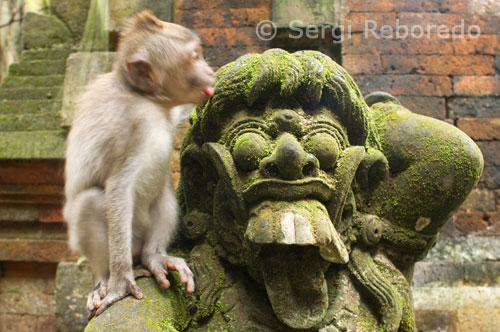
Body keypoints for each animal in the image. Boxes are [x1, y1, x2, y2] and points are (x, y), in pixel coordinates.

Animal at [63, 9, 215, 318]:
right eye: (195, 56)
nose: (209, 71)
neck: (150, 101)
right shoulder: (130, 124)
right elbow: (118, 187)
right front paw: (120, 285)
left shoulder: (168, 109)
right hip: (122, 240)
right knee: (91, 201)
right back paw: (105, 280)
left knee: (163, 193)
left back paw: (155, 257)